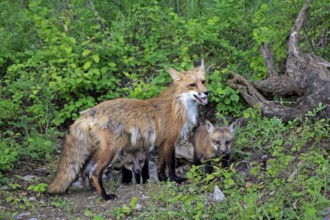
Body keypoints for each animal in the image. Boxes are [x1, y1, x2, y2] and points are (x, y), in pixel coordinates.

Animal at [47, 61, 208, 199]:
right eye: (192, 85)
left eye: (203, 82)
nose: (206, 93)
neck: (177, 106)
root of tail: (88, 111)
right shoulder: (170, 141)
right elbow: (171, 165)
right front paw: (175, 180)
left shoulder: (162, 143)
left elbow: (160, 166)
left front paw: (163, 180)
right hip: (111, 150)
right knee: (95, 173)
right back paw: (105, 196)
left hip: (98, 150)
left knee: (84, 170)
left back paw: (91, 190)